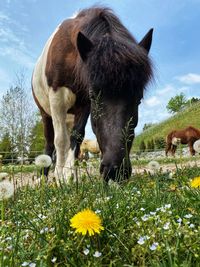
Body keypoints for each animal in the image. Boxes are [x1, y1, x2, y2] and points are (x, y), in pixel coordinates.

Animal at [32, 6, 153, 182]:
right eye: (94, 95)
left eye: (139, 99)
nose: (115, 170)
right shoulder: (57, 97)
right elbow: (60, 141)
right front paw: (60, 176)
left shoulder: (83, 104)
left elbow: (77, 137)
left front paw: (69, 175)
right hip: (46, 113)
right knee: (50, 143)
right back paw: (43, 177)